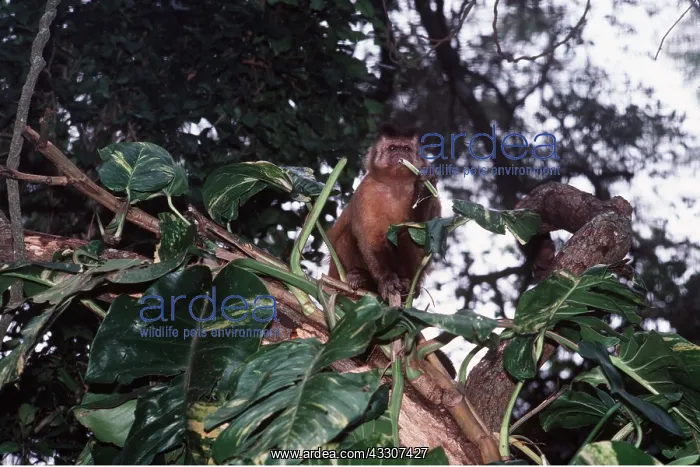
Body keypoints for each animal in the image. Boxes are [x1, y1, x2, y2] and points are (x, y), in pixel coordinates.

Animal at [327, 123, 441, 304]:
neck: (395, 185)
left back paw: (407, 285)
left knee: (409, 235)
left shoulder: (434, 193)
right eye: (392, 147)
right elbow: (371, 239)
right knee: (347, 234)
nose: (400, 152)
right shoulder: (366, 191)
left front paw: (423, 188)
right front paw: (387, 280)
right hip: (336, 277)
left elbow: (425, 232)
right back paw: (358, 277)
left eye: (406, 148)